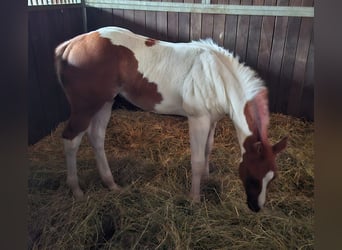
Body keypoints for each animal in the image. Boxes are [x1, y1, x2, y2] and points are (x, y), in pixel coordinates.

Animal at [54, 26, 288, 211]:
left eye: (273, 178)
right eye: (253, 177)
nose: (256, 208)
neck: (216, 76)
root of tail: (70, 45)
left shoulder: (212, 120)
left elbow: (208, 148)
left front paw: (206, 176)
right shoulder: (198, 120)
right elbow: (196, 159)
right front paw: (194, 198)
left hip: (105, 102)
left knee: (97, 137)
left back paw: (111, 184)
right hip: (85, 107)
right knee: (71, 140)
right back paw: (77, 190)